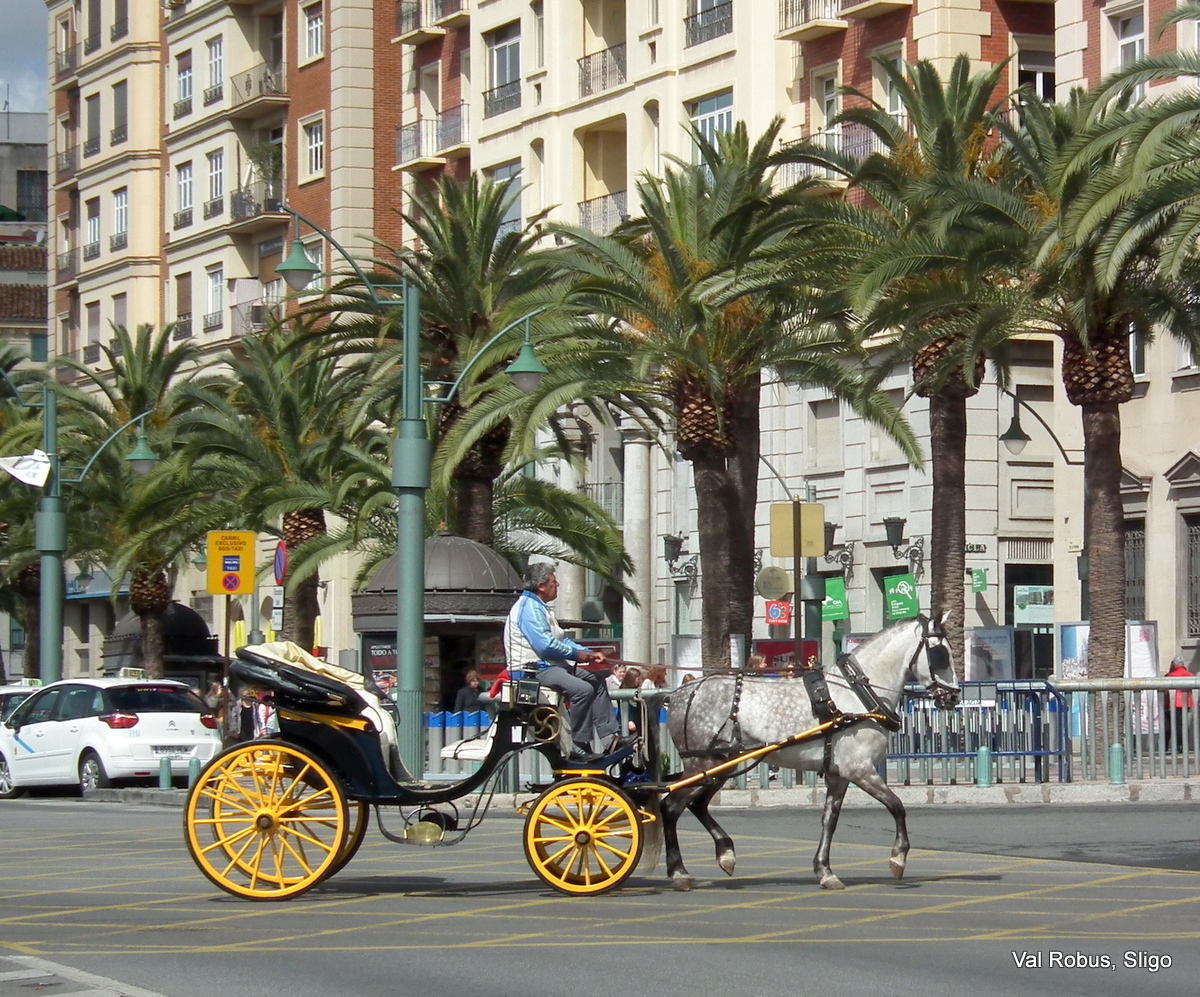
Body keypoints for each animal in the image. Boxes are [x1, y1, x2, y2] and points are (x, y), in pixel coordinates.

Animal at [642, 613, 960, 891]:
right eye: (941, 653)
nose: (954, 696)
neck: (857, 694)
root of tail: (678, 694)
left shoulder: (838, 775)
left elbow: (829, 821)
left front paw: (825, 871)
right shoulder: (859, 769)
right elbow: (896, 806)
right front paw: (898, 857)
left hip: (721, 764)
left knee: (696, 805)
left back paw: (725, 853)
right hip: (703, 763)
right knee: (671, 807)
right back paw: (679, 872)